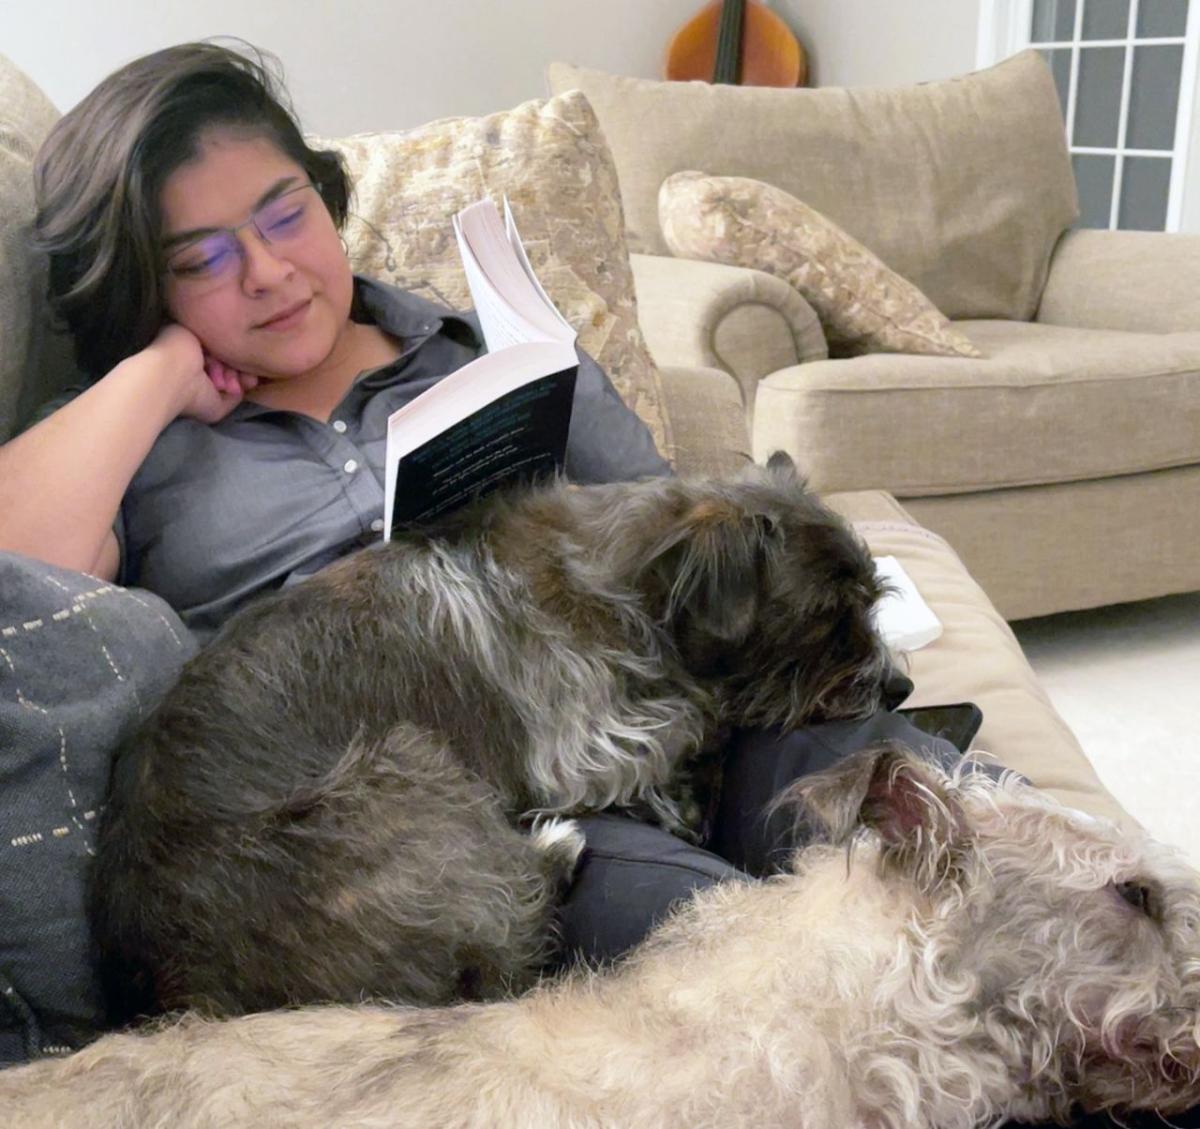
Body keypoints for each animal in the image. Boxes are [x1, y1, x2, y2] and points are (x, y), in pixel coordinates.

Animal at [88, 453, 888, 1017]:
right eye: (825, 620)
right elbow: (687, 722)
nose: (896, 689)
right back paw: (554, 846)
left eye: (871, 599)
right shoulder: (583, 748)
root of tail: (191, 991)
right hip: (408, 767)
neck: (631, 577)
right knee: (505, 926)